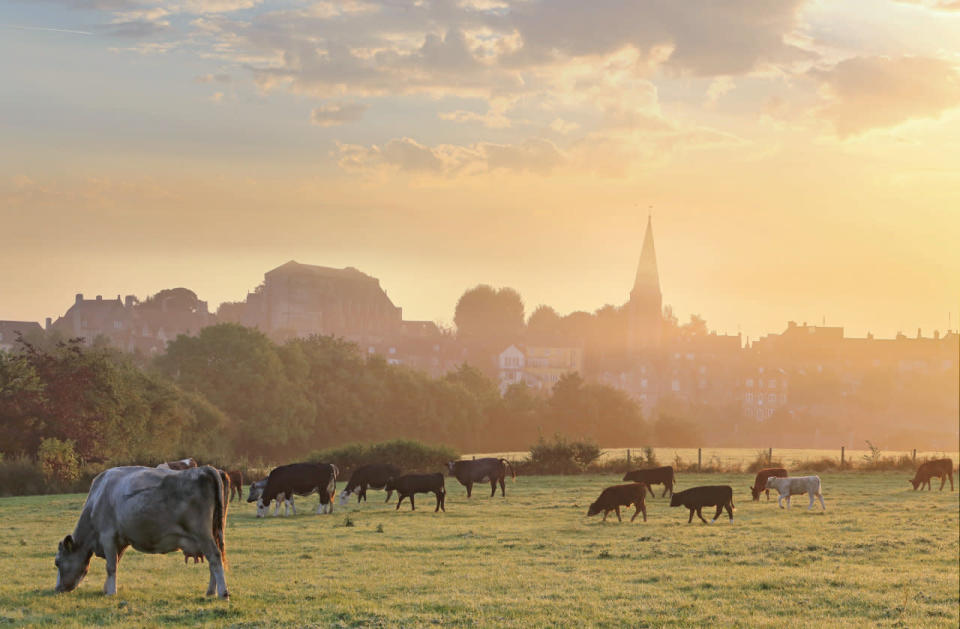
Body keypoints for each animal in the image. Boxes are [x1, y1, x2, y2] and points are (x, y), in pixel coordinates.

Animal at [54, 464, 229, 596]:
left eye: (57, 562)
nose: (57, 589)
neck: (97, 498)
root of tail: (206, 469)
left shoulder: (107, 536)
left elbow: (111, 566)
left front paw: (110, 592)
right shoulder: (121, 539)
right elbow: (116, 561)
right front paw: (106, 588)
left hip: (202, 534)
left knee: (215, 557)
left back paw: (222, 593)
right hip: (214, 532)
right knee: (215, 559)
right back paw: (210, 591)